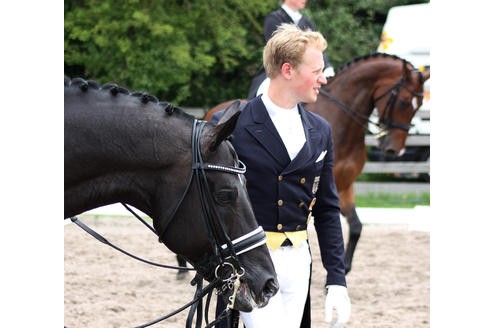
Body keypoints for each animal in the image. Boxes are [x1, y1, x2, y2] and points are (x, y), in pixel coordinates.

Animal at [203, 53, 432, 274]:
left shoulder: (344, 185)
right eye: (404, 102)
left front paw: (345, 267)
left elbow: (355, 227)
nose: (395, 150)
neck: (343, 123)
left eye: (418, 106)